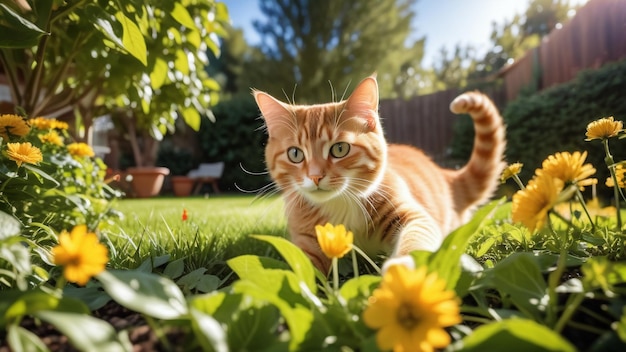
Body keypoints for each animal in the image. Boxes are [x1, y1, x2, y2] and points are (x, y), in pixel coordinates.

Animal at [252, 77, 502, 274]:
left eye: (339, 149)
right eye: (295, 154)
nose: (315, 176)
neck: (340, 204)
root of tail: (444, 174)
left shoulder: (412, 214)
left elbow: (417, 234)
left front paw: (401, 268)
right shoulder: (307, 237)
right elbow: (304, 270)